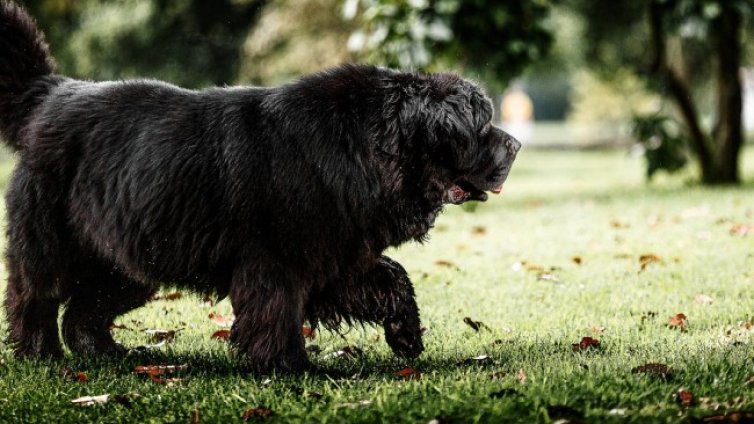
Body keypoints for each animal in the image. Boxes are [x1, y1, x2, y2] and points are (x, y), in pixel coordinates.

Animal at [0, 0, 516, 372]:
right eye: (482, 126)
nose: (515, 145)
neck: (361, 146)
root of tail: (52, 92)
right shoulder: (274, 260)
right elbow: (276, 312)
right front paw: (288, 366)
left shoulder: (335, 251)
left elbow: (392, 278)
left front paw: (406, 335)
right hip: (53, 244)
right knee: (35, 296)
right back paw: (40, 355)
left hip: (129, 256)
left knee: (85, 308)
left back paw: (108, 354)